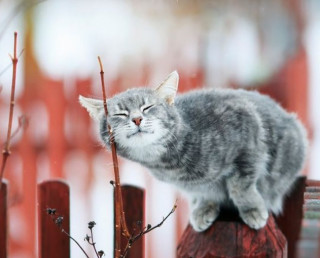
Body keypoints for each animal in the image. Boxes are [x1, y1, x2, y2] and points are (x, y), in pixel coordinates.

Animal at [79, 71, 308, 232]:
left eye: (148, 107)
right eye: (120, 114)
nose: (136, 119)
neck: (169, 165)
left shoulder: (248, 136)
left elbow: (240, 186)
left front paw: (252, 209)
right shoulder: (195, 185)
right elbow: (205, 191)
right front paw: (204, 207)